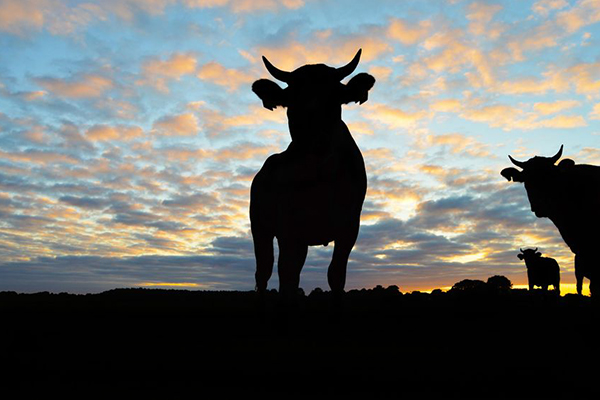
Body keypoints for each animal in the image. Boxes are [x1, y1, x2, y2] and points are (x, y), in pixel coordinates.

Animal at [250, 49, 376, 296]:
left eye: (334, 97)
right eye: (292, 101)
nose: (314, 138)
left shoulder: (349, 227)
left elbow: (336, 274)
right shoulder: (289, 228)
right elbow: (287, 275)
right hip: (260, 227)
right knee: (264, 270)